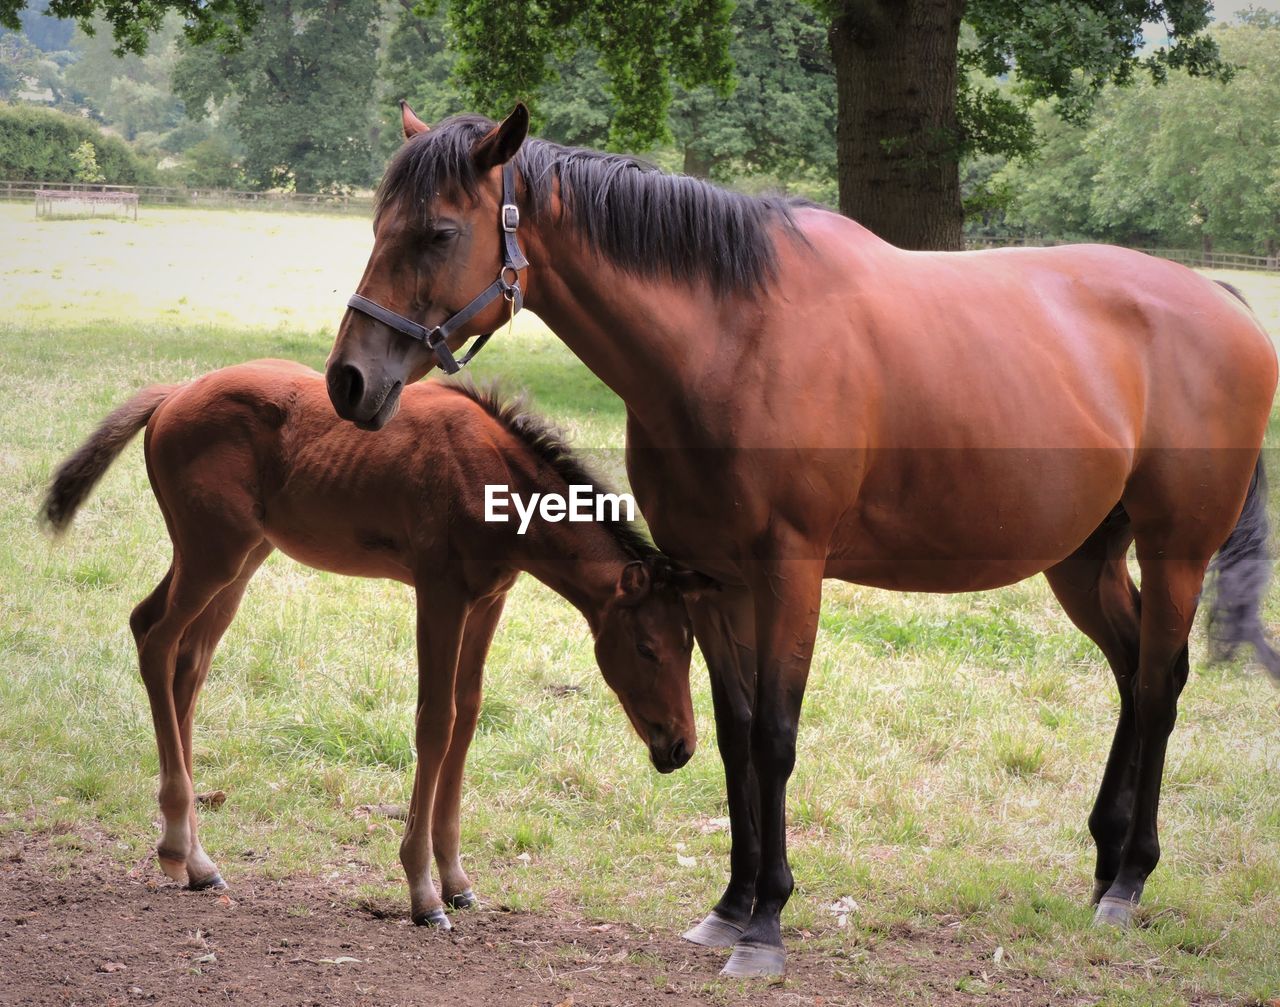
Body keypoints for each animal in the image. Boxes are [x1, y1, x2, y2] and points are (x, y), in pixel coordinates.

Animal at [42, 355, 701, 931]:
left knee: (186, 660)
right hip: (214, 555)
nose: (681, 747)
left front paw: (457, 881)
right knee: (155, 639)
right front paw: (423, 893)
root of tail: (174, 395)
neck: (495, 476)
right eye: (647, 647)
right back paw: (182, 844)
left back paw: (193, 860)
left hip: (239, 558)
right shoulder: (440, 593)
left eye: (690, 647)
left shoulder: (489, 599)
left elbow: (468, 716)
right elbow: (435, 721)